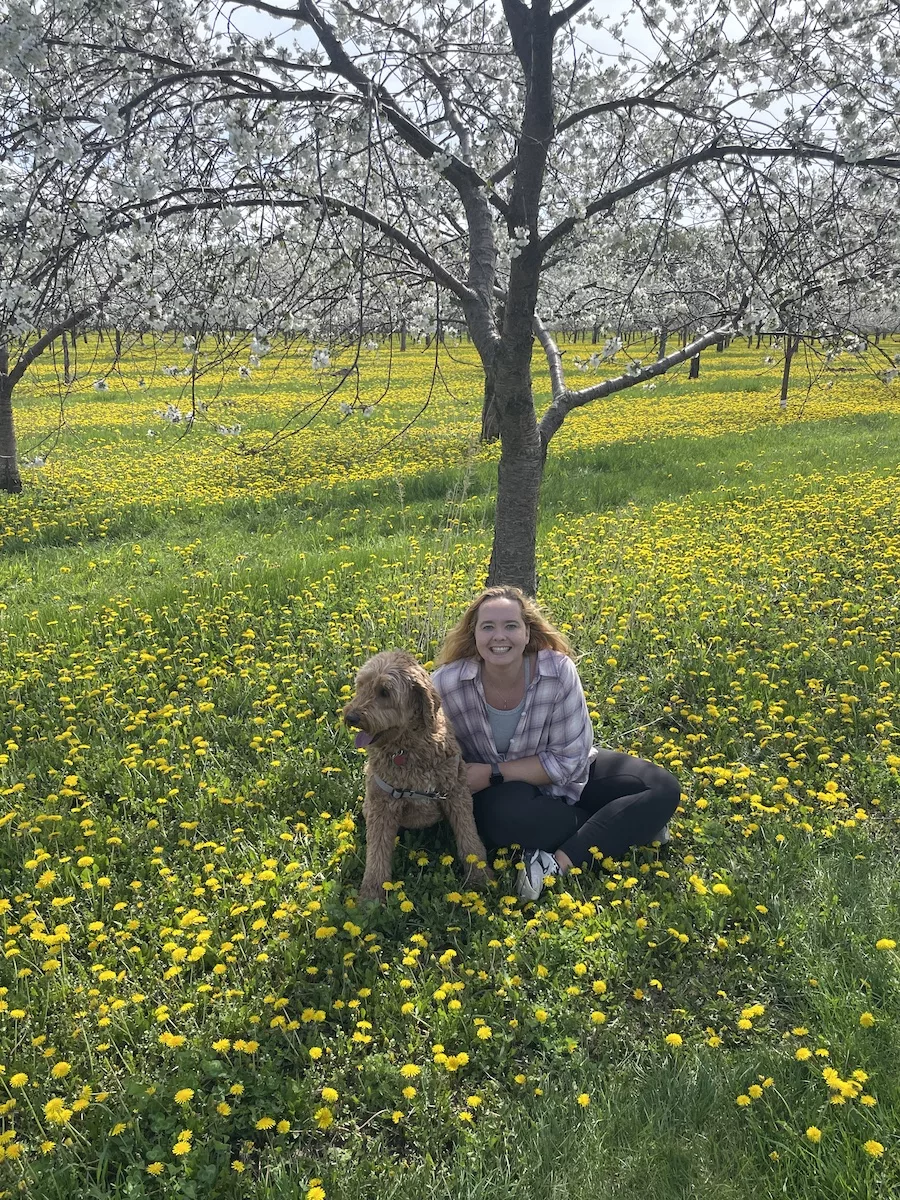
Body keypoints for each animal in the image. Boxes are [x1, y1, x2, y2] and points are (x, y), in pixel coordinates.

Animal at [343, 657, 494, 902]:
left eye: (384, 692)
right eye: (361, 685)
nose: (350, 717)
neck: (406, 749)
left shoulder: (456, 794)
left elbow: (469, 838)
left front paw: (480, 877)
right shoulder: (381, 805)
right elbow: (376, 854)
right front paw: (372, 896)